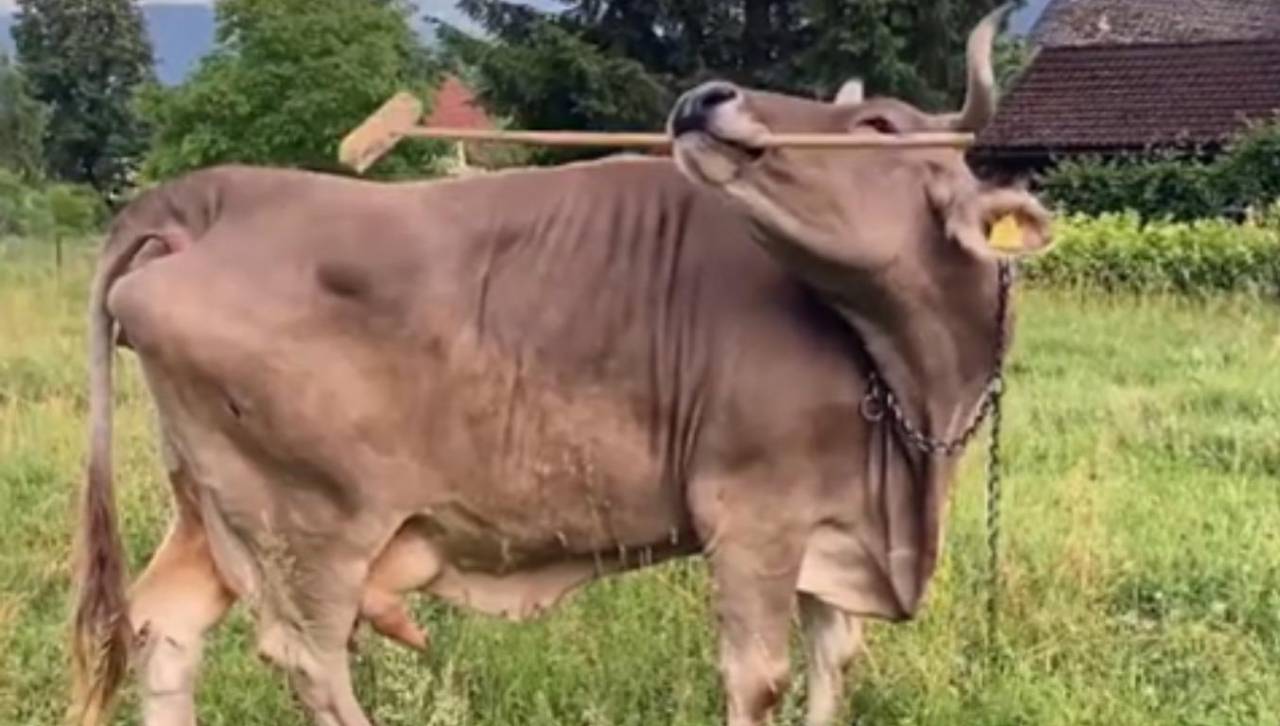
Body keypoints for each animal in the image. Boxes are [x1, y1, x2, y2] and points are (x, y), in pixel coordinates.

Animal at [70, 5, 1052, 726]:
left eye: (880, 122)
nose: (706, 98)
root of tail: (214, 193)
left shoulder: (835, 527)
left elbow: (832, 665)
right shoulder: (755, 519)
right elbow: (760, 678)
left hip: (211, 509)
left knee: (165, 626)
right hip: (308, 526)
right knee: (309, 657)